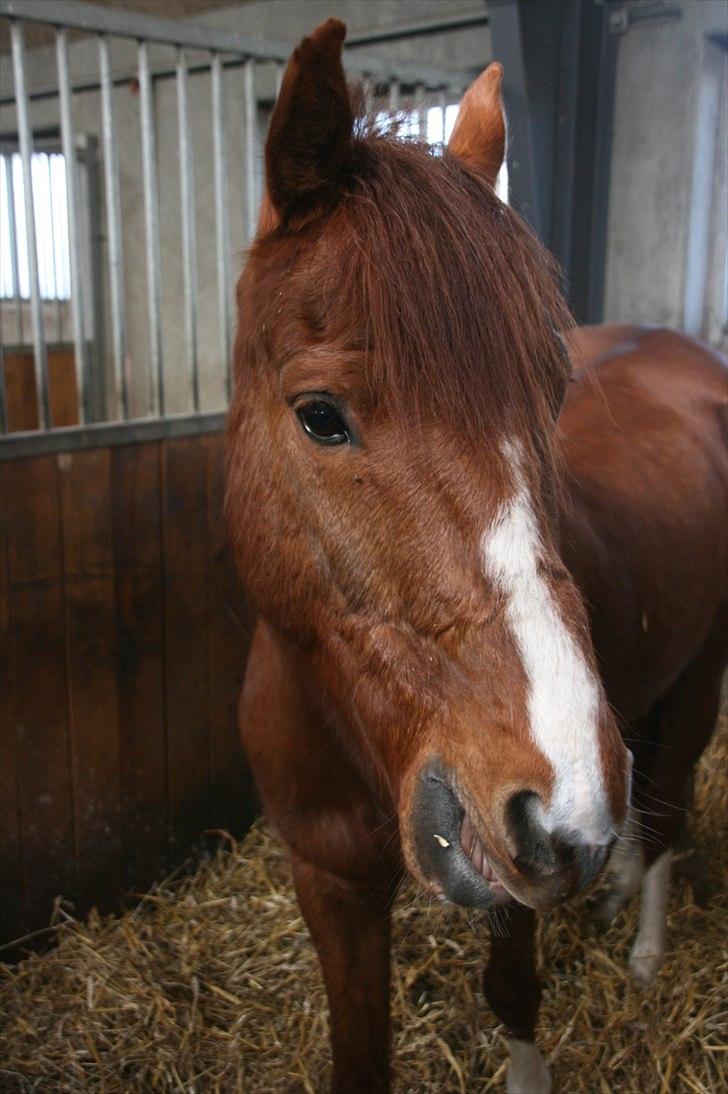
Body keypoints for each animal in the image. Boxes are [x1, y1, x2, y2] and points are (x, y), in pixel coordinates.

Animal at [225, 20, 727, 1093]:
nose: (566, 798)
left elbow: (514, 996)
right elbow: (359, 1053)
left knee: (668, 811)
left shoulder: (512, 882)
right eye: (320, 416)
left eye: (551, 396)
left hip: (698, 683)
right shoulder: (329, 883)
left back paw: (645, 946)